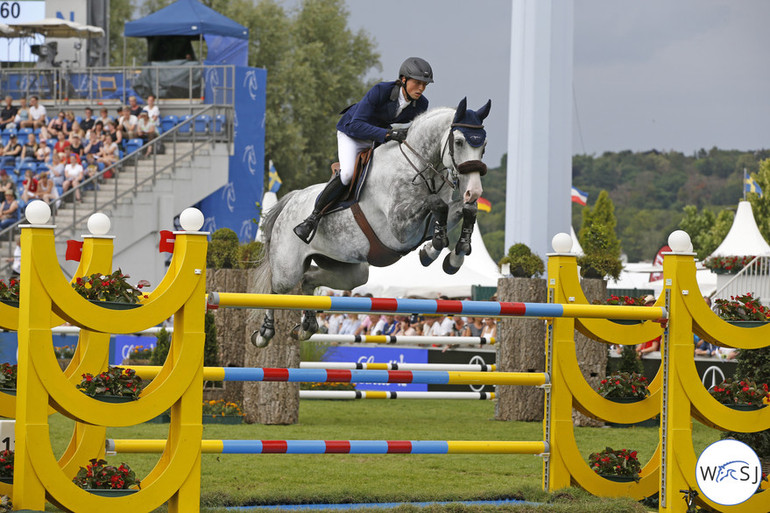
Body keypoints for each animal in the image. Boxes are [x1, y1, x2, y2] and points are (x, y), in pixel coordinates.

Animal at [252, 98, 492, 346]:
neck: (417, 166)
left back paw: (307, 327)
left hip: (349, 271)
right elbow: (438, 205)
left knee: (309, 280)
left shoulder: (430, 221)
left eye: (483, 146)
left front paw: (454, 256)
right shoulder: (399, 227)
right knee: (275, 289)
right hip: (288, 268)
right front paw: (432, 251)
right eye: (459, 141)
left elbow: (465, 210)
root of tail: (290, 200)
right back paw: (264, 333)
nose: (474, 191)